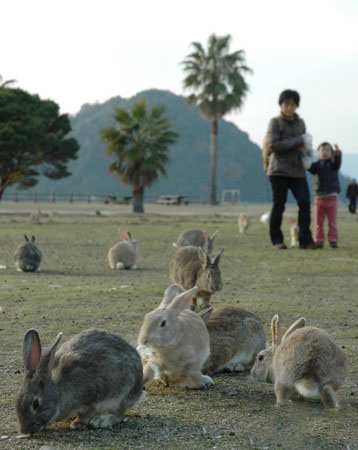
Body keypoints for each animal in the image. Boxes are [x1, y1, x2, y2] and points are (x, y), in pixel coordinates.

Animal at [15, 326, 144, 434]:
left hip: (122, 392)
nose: (25, 430)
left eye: (35, 404)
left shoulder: (90, 400)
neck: (59, 391)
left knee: (119, 413)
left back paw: (103, 420)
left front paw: (77, 423)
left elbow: (85, 413)